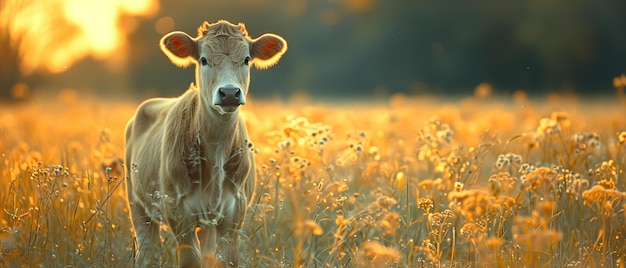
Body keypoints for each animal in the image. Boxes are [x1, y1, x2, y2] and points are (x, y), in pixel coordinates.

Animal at [123, 19, 288, 266]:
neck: (216, 150)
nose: (229, 93)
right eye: (203, 59)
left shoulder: (235, 216)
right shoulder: (179, 214)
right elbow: (191, 259)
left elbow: (226, 259)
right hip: (137, 204)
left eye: (246, 59)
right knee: (147, 250)